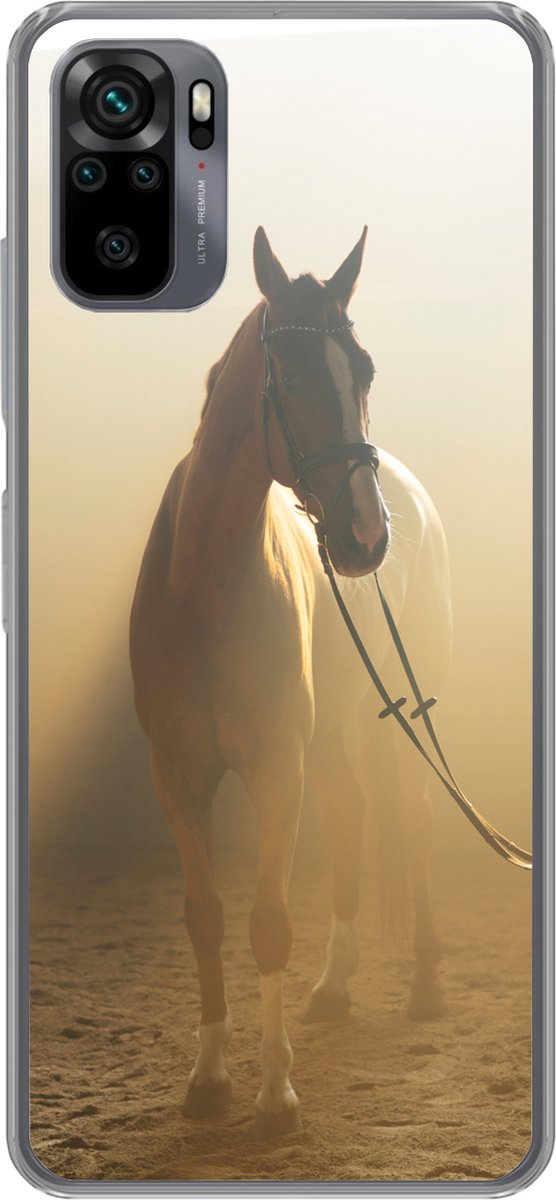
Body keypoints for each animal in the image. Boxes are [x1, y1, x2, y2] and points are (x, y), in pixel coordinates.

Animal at [129, 226, 452, 1138]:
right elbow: (205, 918)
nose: (364, 535)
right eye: (297, 378)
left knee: (414, 818)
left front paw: (276, 1095)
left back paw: (423, 986)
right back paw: (335, 988)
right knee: (349, 817)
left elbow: (269, 923)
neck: (204, 587)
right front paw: (208, 1079)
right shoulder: (178, 776)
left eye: (365, 371)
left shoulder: (276, 768)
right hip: (335, 732)